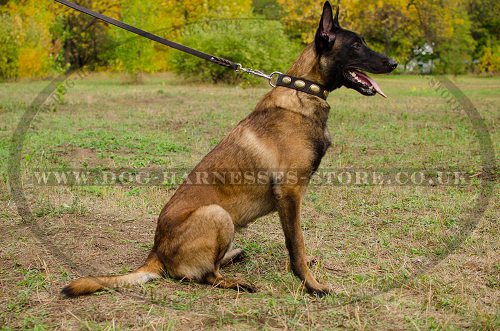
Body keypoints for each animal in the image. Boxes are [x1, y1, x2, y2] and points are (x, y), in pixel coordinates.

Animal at [63, 1, 398, 298]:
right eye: (356, 45)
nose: (394, 63)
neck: (303, 92)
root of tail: (155, 253)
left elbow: (297, 244)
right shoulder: (290, 194)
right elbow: (296, 246)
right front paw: (312, 285)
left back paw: (234, 256)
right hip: (218, 214)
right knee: (205, 275)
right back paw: (236, 281)